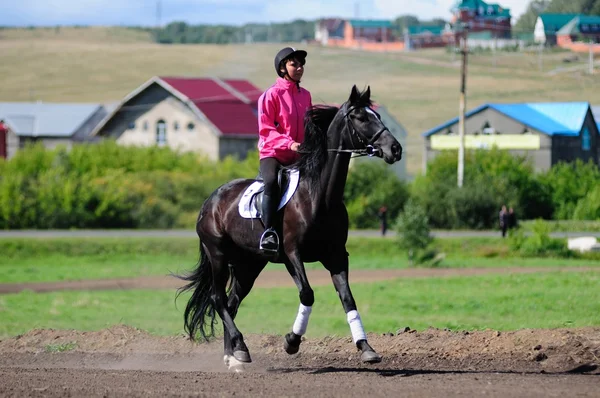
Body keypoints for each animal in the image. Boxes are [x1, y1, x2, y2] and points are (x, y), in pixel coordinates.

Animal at [177, 85, 404, 372]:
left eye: (378, 115)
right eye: (362, 117)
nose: (395, 148)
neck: (320, 196)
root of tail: (210, 201)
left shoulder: (336, 256)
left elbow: (347, 298)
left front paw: (366, 348)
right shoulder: (291, 254)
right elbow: (307, 294)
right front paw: (291, 342)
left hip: (248, 265)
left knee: (231, 302)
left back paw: (234, 355)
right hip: (217, 255)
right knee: (218, 299)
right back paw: (241, 349)